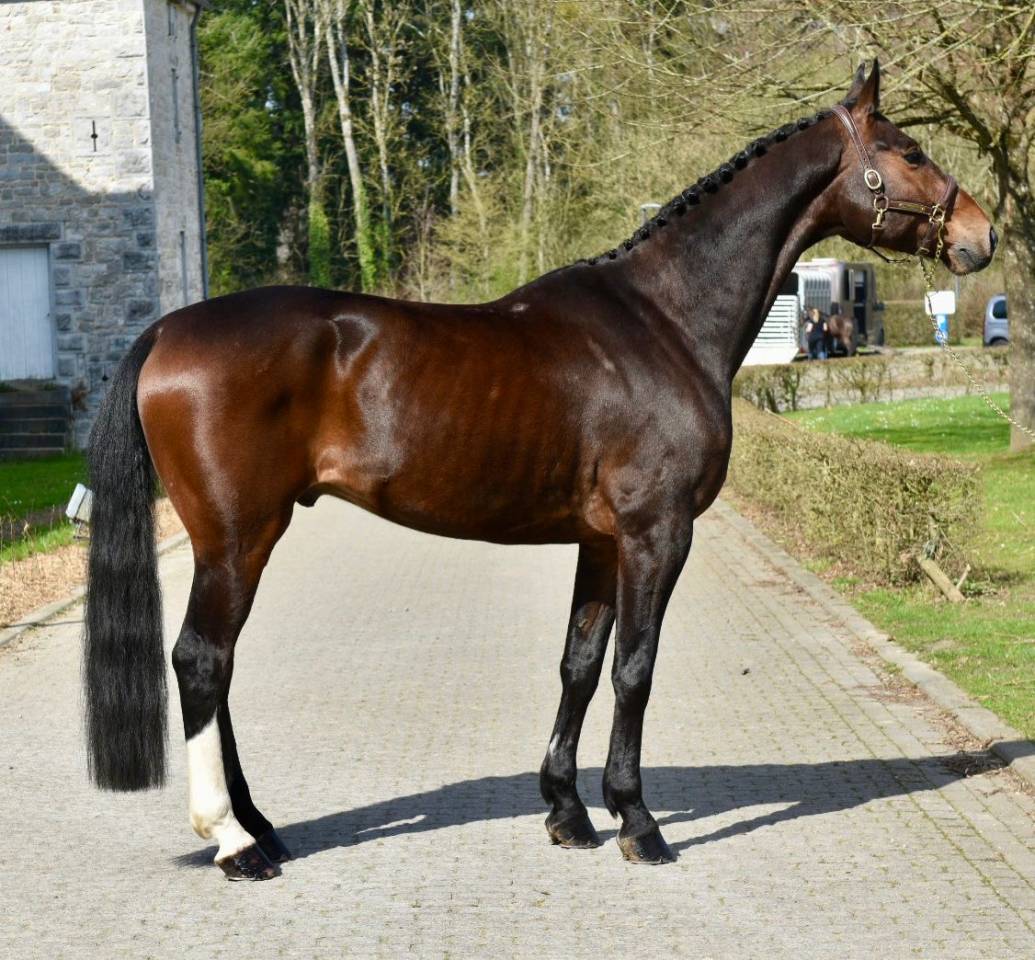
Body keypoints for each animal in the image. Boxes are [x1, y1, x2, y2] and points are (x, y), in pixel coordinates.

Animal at [83, 61, 995, 880]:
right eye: (907, 150)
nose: (979, 235)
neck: (665, 319)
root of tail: (166, 331)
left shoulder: (600, 541)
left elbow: (579, 665)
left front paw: (566, 812)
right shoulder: (656, 533)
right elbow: (634, 670)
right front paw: (636, 822)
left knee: (220, 669)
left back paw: (263, 829)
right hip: (238, 538)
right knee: (202, 660)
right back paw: (233, 842)